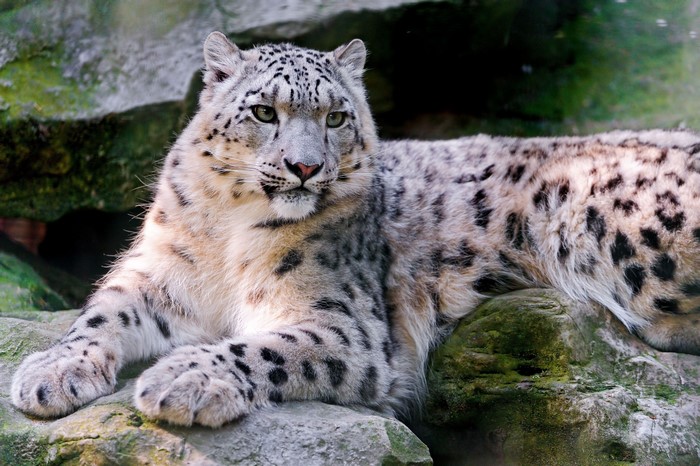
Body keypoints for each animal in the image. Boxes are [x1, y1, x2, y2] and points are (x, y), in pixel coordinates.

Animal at [11, 31, 700, 428]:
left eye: (338, 117)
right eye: (264, 111)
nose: (305, 166)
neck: (229, 232)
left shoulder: (345, 324)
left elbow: (263, 348)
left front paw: (182, 379)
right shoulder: (160, 273)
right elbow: (102, 313)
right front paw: (50, 373)